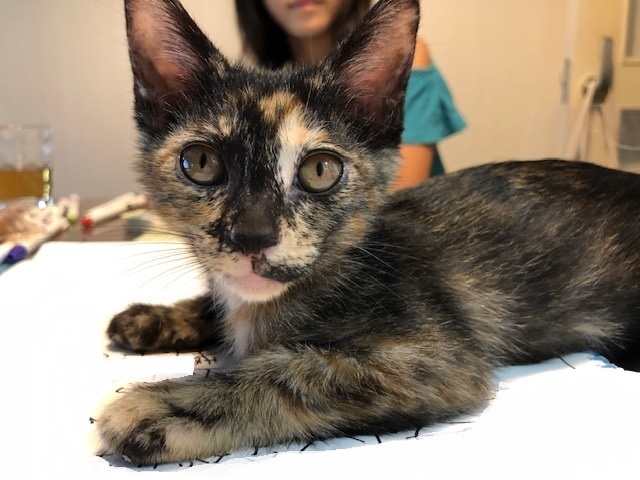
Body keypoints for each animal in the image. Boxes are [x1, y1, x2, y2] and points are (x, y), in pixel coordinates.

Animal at [98, 0, 640, 466]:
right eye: (201, 162)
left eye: (320, 170)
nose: (252, 235)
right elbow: (217, 304)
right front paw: (149, 318)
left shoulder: (439, 360)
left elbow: (294, 371)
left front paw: (159, 407)